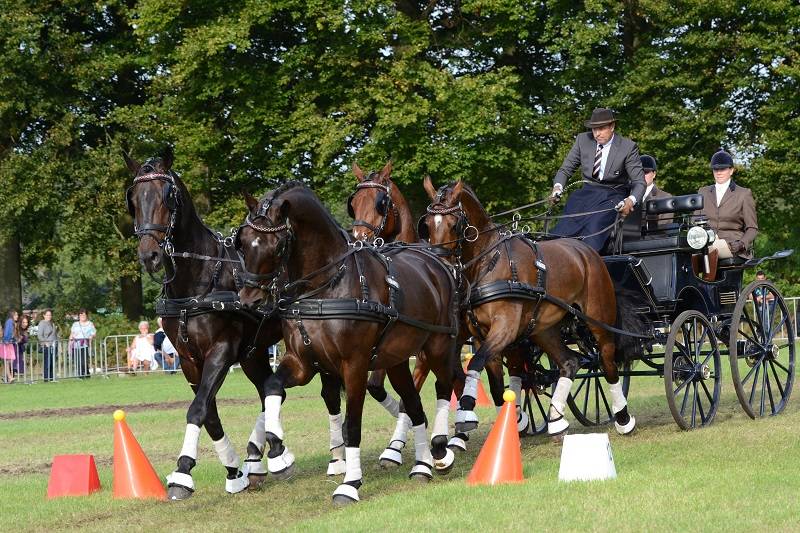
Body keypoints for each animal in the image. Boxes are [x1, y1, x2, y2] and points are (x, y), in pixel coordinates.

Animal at [124, 148, 347, 500]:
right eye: (133, 198)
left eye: (166, 196)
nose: (150, 255)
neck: (199, 279)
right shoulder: (189, 359)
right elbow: (209, 413)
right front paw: (233, 471)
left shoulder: (222, 350)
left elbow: (198, 409)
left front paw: (182, 472)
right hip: (254, 352)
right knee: (270, 391)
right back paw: (260, 457)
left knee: (327, 394)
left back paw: (334, 459)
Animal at [236, 182, 460, 505]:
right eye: (242, 243)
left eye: (278, 246)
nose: (249, 301)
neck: (326, 286)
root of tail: (437, 263)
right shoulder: (302, 363)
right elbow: (272, 387)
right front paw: (278, 454)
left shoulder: (354, 366)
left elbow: (351, 426)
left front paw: (350, 484)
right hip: (396, 361)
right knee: (414, 405)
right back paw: (422, 466)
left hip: (438, 347)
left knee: (446, 384)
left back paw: (443, 448)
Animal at [418, 177, 637, 438]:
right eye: (427, 224)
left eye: (454, 224)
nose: (440, 265)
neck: (489, 262)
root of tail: (587, 252)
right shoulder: (482, 336)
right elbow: (493, 383)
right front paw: (513, 420)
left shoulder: (505, 328)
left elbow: (474, 364)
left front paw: (467, 412)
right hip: (543, 328)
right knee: (569, 362)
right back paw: (556, 419)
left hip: (597, 320)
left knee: (607, 361)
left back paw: (623, 418)